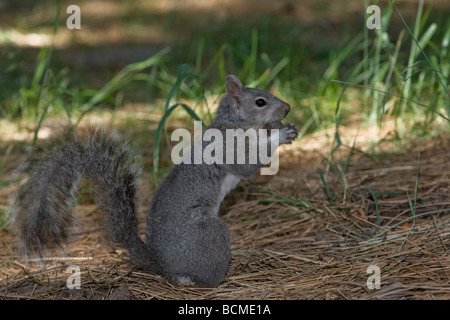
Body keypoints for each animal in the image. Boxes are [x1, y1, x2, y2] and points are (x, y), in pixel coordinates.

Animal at [8, 75, 298, 288]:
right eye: (260, 102)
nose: (287, 108)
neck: (235, 124)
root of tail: (161, 265)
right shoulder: (228, 149)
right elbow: (247, 166)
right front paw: (280, 135)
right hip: (209, 234)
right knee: (203, 275)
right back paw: (217, 280)